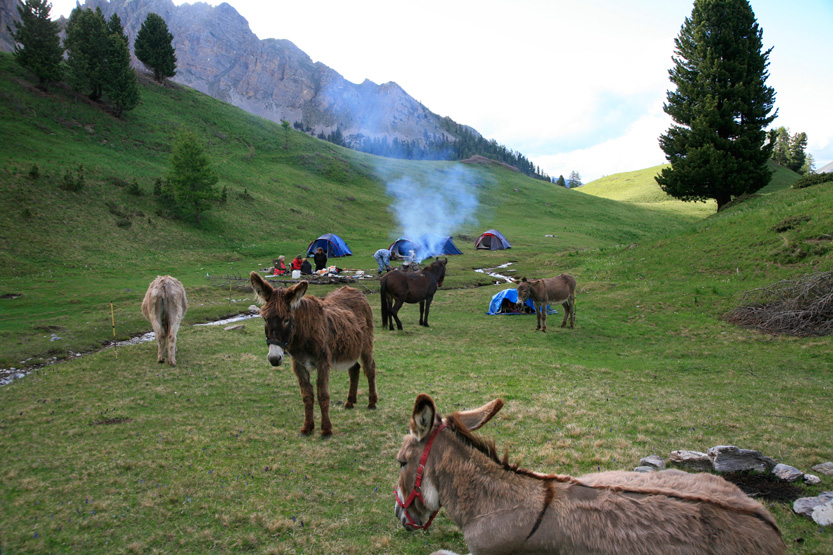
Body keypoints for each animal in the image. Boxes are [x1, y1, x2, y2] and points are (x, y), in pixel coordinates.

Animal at [247, 274, 376, 438]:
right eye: (265, 319)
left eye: (286, 319)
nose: (274, 358)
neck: (302, 334)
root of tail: (354, 290)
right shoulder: (298, 365)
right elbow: (307, 396)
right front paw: (307, 428)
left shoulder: (323, 363)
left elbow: (323, 395)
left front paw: (326, 429)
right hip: (350, 348)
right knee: (355, 369)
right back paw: (350, 402)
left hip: (366, 345)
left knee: (370, 368)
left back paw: (372, 403)